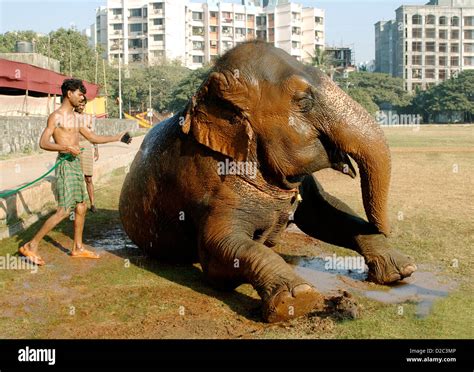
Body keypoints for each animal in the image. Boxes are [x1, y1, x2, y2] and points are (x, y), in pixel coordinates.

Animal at [119, 40, 418, 322]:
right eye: (304, 102)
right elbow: (218, 251)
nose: (385, 227)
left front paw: (402, 270)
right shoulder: (206, 180)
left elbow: (327, 214)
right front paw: (298, 300)